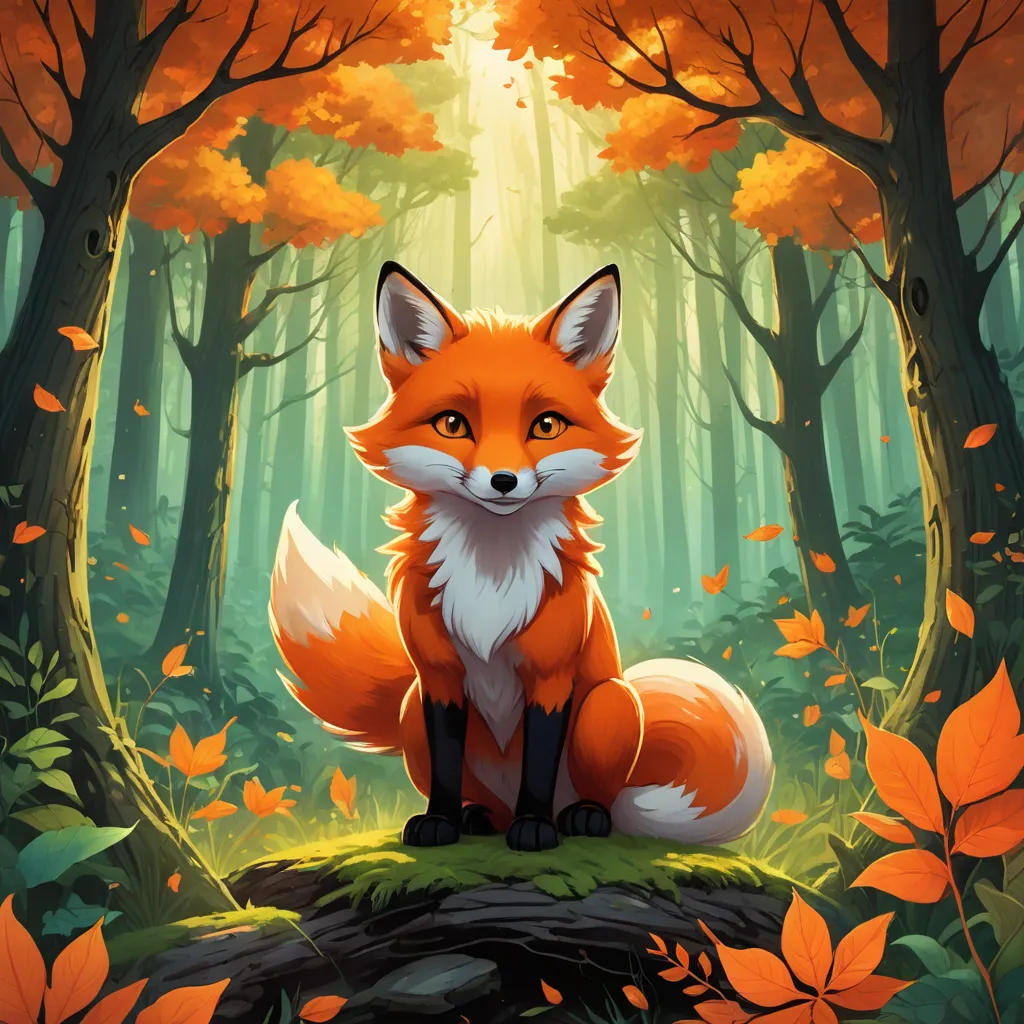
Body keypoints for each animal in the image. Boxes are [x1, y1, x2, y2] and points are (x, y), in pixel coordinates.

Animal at [269, 261, 773, 851]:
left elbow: (539, 763)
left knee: (601, 798)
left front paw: (535, 828)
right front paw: (439, 821)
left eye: (546, 426)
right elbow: (446, 766)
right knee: (479, 795)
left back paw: (578, 817)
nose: (504, 481)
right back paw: (477, 817)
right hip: (412, 707)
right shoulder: (439, 679)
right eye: (452, 424)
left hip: (608, 705)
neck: (491, 575)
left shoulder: (551, 678)